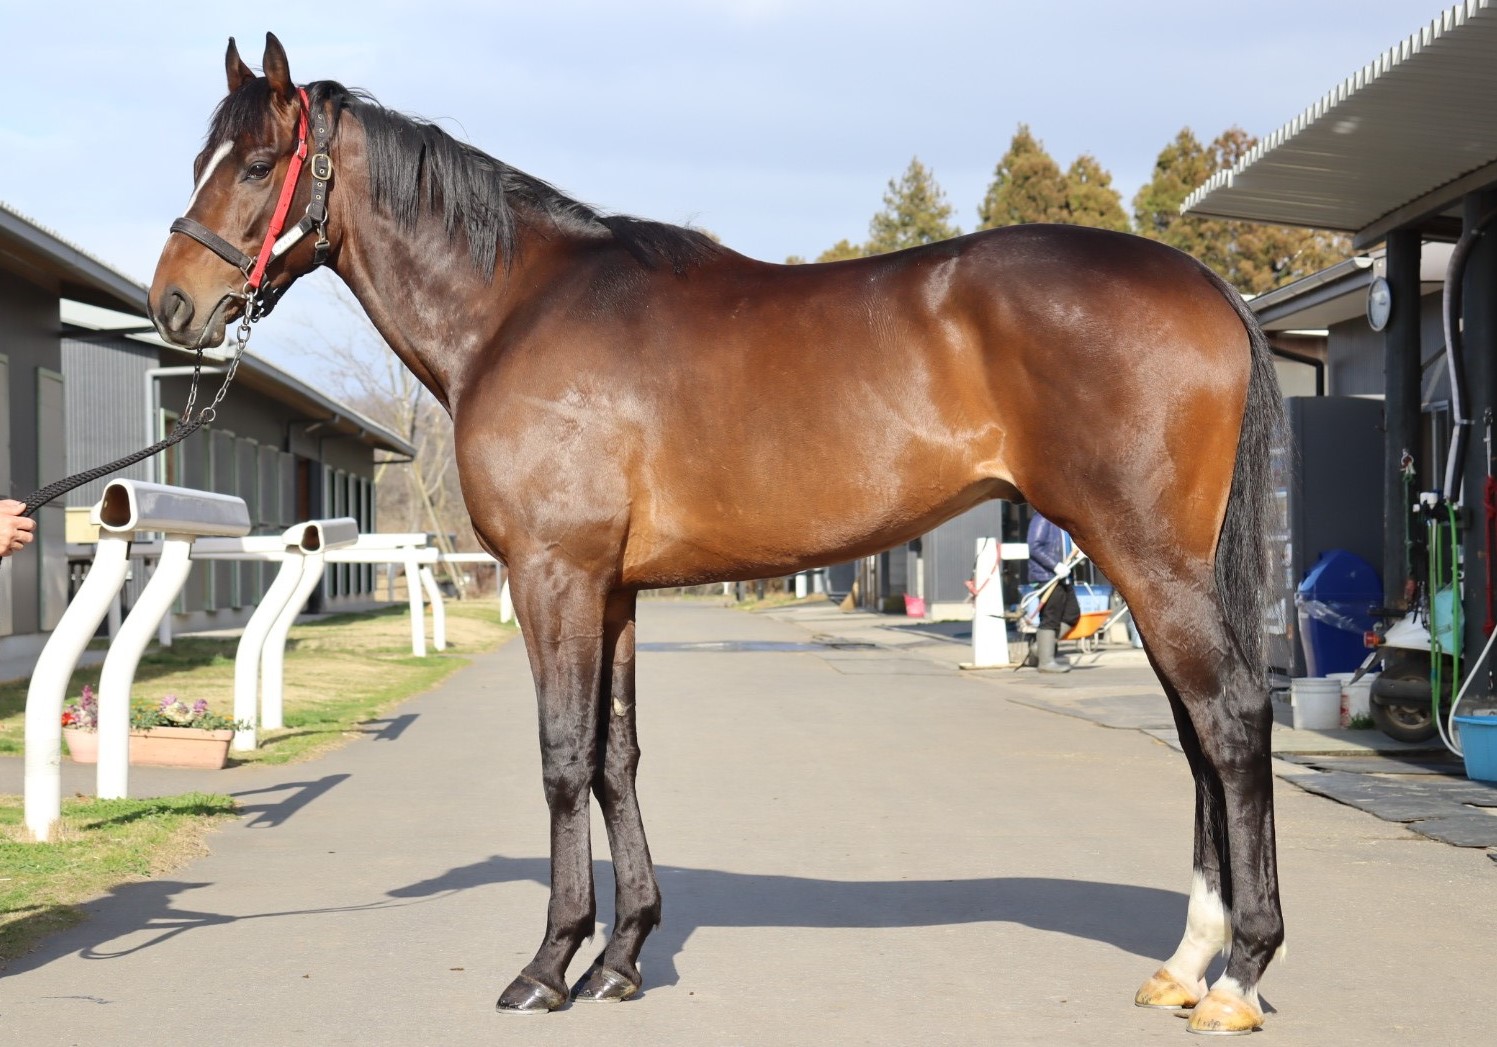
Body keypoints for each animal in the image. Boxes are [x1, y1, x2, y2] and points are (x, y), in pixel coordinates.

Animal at [148, 33, 1286, 1036]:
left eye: (257, 163)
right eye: (201, 160)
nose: (174, 305)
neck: (519, 307)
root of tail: (1205, 285)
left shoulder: (555, 576)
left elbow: (563, 756)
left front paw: (549, 965)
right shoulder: (611, 589)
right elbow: (617, 756)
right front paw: (622, 956)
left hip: (1149, 558)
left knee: (1228, 719)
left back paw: (1237, 976)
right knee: (1196, 731)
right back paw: (1186, 963)